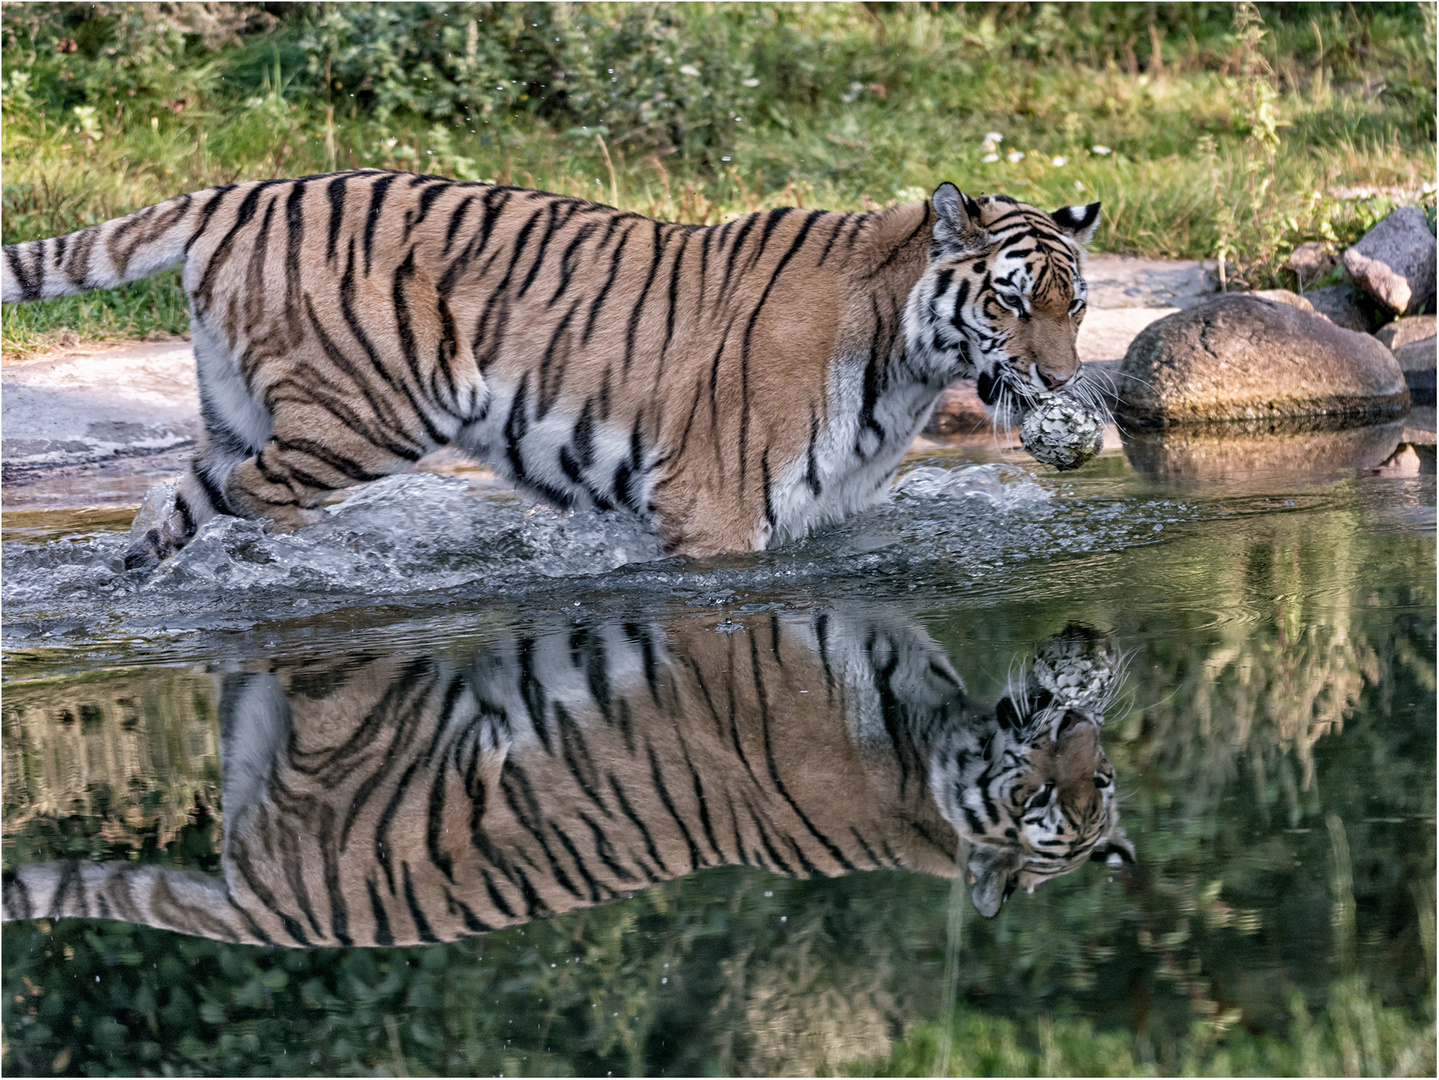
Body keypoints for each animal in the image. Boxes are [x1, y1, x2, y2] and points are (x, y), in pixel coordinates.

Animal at [2, 171, 1099, 566]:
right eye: (1009, 302)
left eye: (1073, 305)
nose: (1057, 384)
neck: (906, 360)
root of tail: (238, 190)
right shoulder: (712, 515)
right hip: (363, 415)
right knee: (252, 499)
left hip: (240, 414)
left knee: (180, 498)